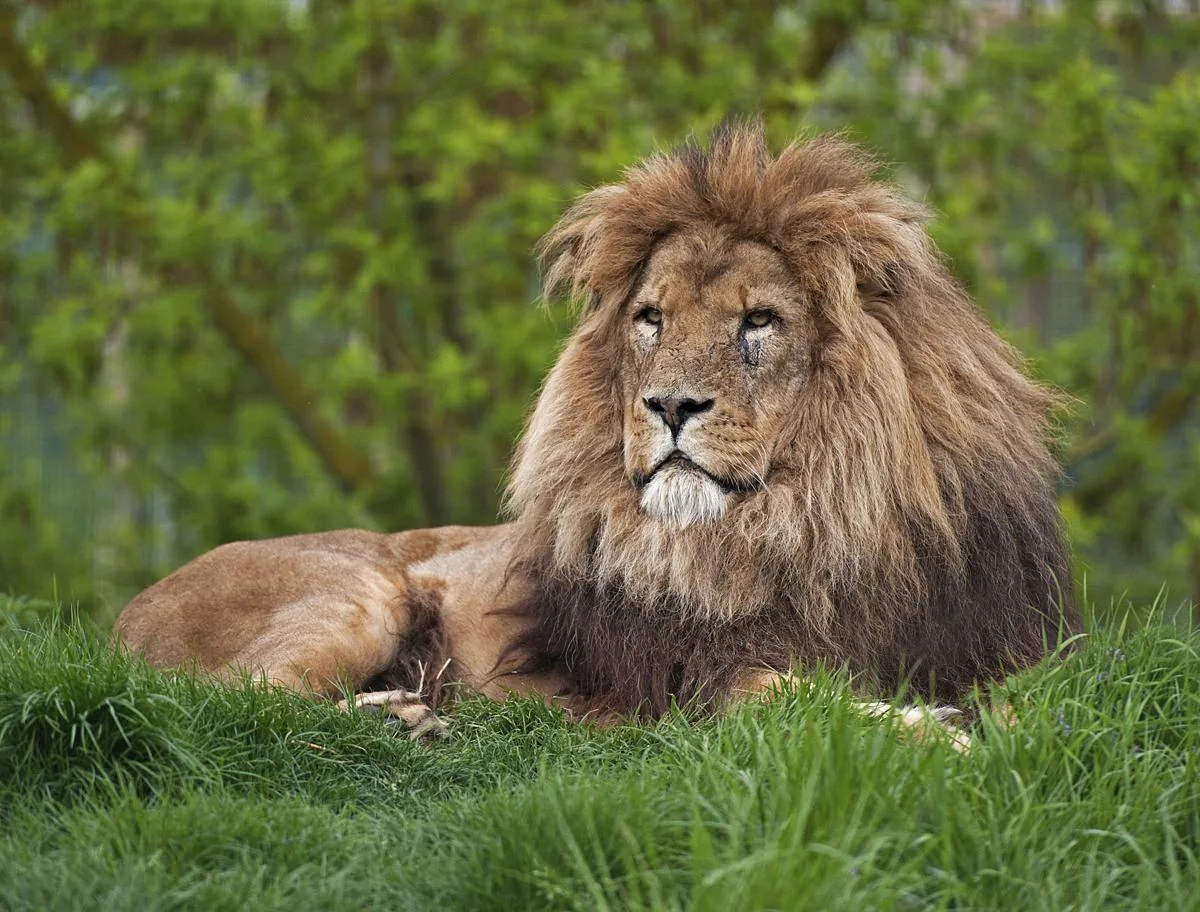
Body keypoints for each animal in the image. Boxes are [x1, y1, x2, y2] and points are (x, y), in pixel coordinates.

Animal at [114, 123, 1077, 747]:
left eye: (759, 321)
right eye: (651, 319)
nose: (670, 406)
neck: (819, 520)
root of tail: (123, 619)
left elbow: (1036, 701)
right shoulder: (698, 685)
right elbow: (799, 698)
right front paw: (924, 727)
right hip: (360, 589)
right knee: (227, 703)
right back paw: (395, 716)